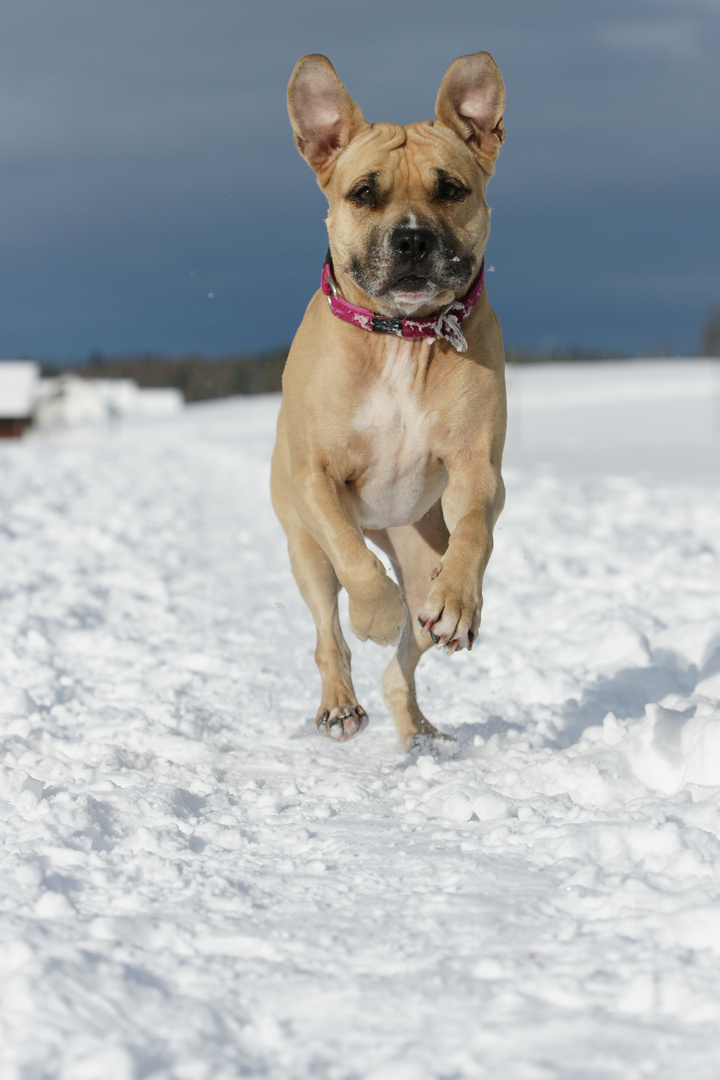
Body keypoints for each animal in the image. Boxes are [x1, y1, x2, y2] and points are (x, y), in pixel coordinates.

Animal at [269, 48, 507, 743]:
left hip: (419, 552)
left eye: (450, 189)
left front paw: (460, 601)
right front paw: (374, 615)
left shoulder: (477, 467)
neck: (403, 336)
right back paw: (341, 704)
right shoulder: (316, 480)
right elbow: (354, 564)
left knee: (406, 654)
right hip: (303, 550)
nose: (412, 239)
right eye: (363, 193)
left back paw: (418, 723)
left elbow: (474, 531)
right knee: (330, 630)